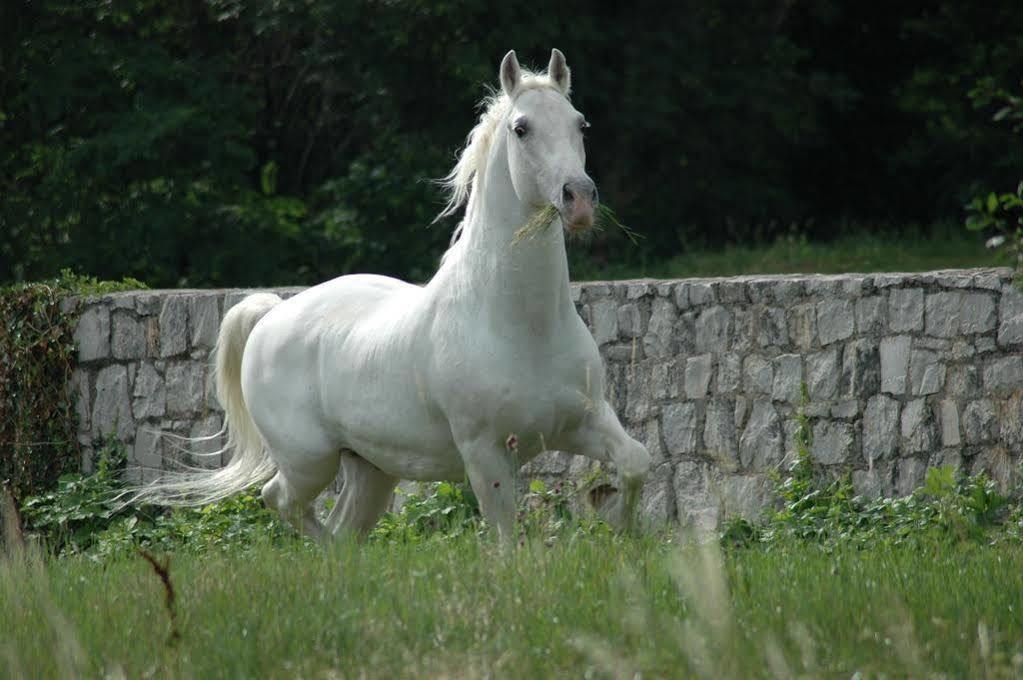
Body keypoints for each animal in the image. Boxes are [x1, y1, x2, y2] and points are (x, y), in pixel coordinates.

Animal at [138, 50, 646, 539]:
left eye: (580, 124)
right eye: (521, 129)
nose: (579, 199)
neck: (522, 325)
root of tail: (272, 314)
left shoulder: (584, 422)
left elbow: (636, 462)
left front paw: (619, 530)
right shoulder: (485, 454)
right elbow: (506, 539)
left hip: (371, 469)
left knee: (342, 528)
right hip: (310, 462)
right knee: (281, 500)